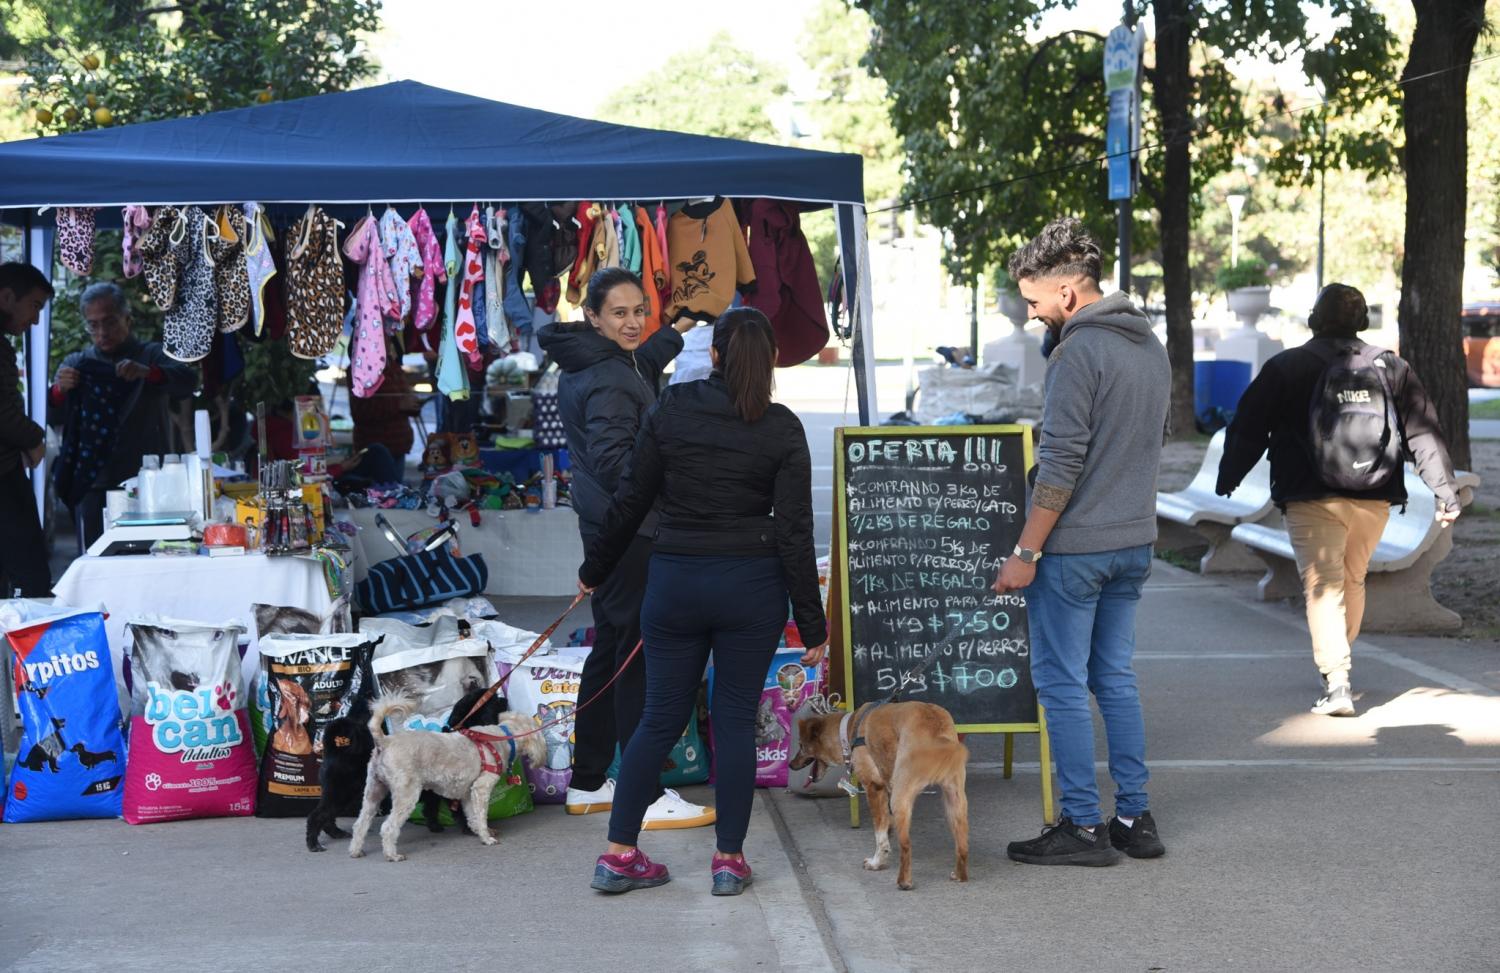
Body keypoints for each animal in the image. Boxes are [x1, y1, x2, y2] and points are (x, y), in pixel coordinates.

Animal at [345, 695, 546, 863]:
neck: (503, 737)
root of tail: (385, 741)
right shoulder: (481, 788)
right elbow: (481, 816)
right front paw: (487, 838)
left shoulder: (468, 794)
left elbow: (472, 817)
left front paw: (479, 833)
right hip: (406, 794)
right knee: (388, 827)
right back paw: (392, 855)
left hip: (373, 792)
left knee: (360, 824)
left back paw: (356, 850)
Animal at [792, 698, 966, 887]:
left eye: (801, 745)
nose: (790, 765)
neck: (847, 729)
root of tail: (935, 728)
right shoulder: (886, 788)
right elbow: (886, 824)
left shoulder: (873, 787)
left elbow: (879, 833)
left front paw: (877, 862)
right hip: (955, 800)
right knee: (962, 844)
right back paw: (960, 875)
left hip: (901, 797)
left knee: (906, 845)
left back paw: (904, 882)